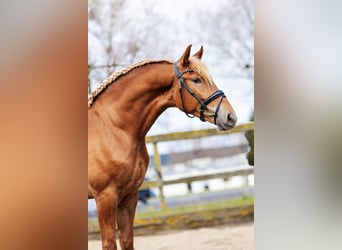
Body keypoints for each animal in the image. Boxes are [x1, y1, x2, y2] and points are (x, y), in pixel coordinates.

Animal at [88, 45, 236, 250]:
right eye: (196, 80)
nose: (230, 116)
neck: (113, 127)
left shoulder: (129, 195)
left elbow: (127, 241)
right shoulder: (105, 197)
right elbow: (109, 243)